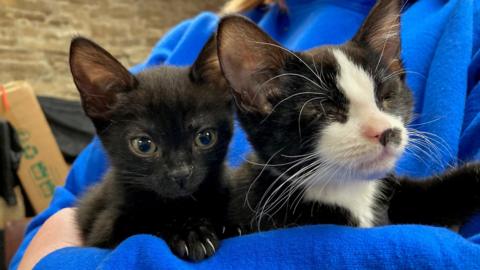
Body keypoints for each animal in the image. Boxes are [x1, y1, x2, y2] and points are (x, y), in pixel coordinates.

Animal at [71, 37, 234, 260]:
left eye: (205, 137)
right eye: (144, 145)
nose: (181, 173)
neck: (181, 204)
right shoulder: (103, 229)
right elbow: (144, 223)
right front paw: (190, 233)